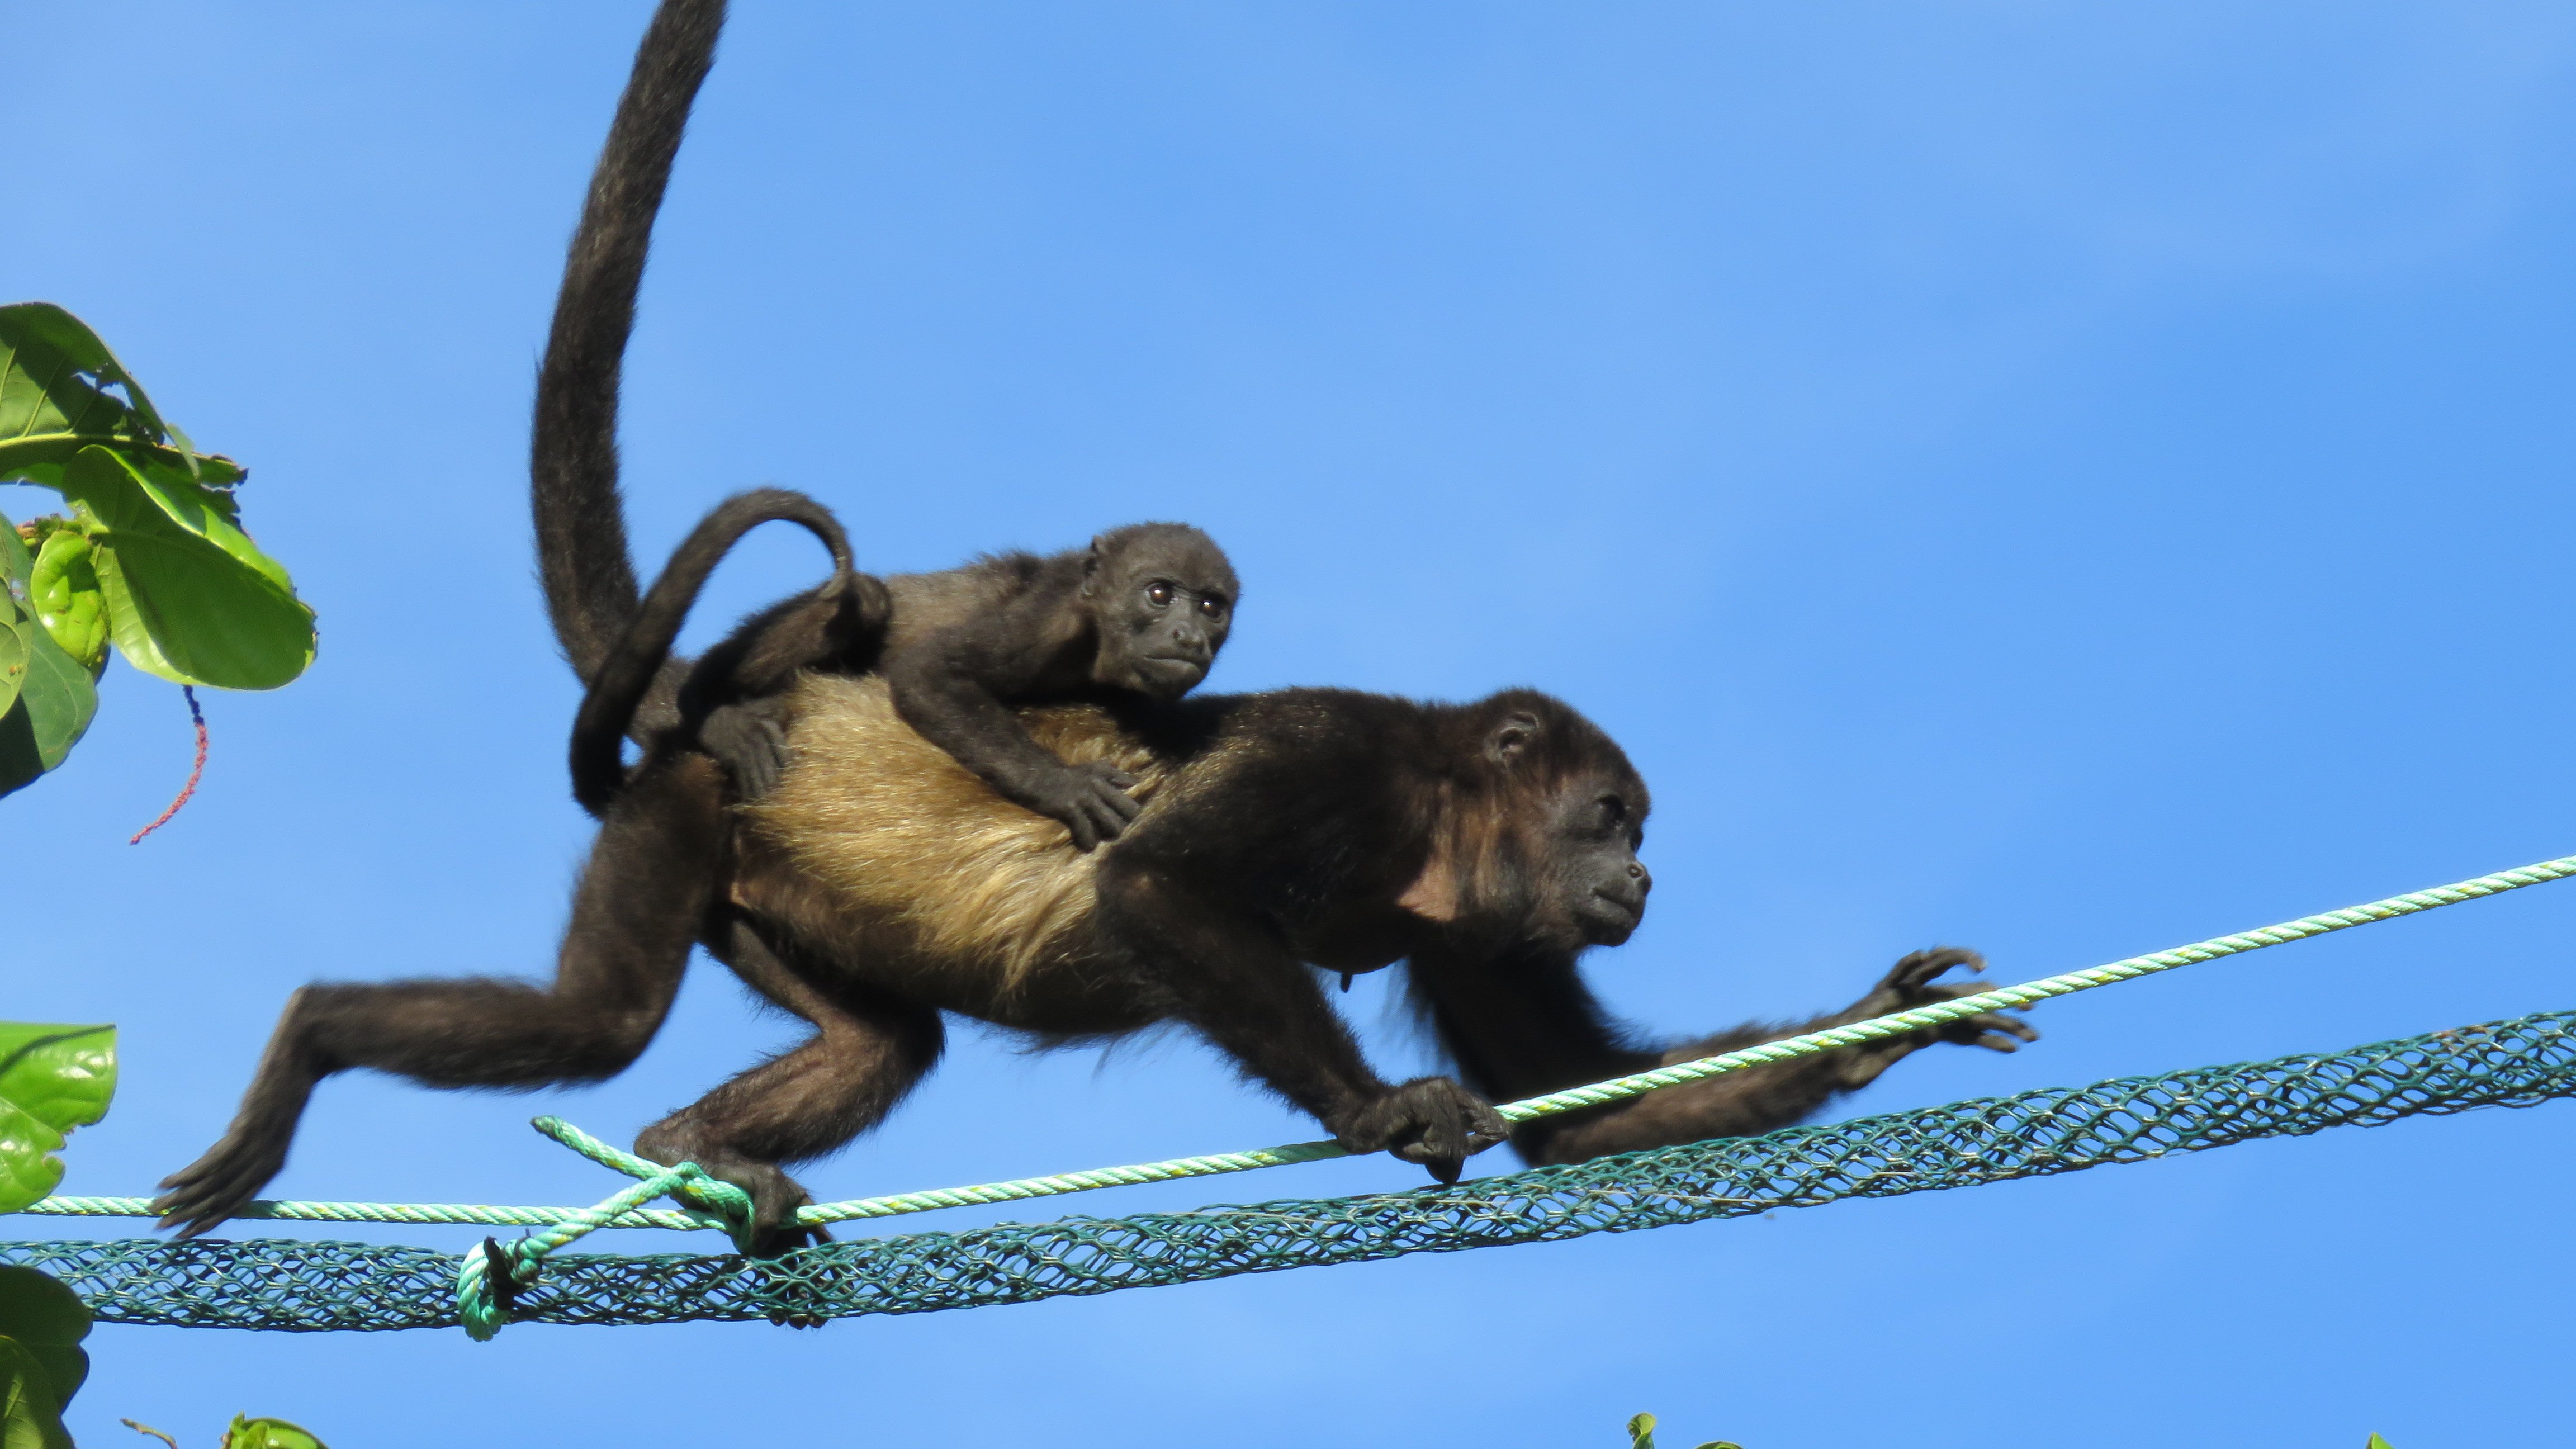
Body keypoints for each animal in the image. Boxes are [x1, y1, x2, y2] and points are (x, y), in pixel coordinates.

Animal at [151, 0, 2039, 1251]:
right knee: (594, 1020)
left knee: (874, 1040)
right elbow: (1160, 891)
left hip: (767, 893)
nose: (1641, 882)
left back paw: (700, 1145)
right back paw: (315, 1043)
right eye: (1610, 817)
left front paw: (1901, 1017)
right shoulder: (1341, 772)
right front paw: (1377, 1109)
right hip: (683, 799)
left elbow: (1593, 1113)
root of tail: (726, 692)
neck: (1441, 812)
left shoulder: (1466, 920)